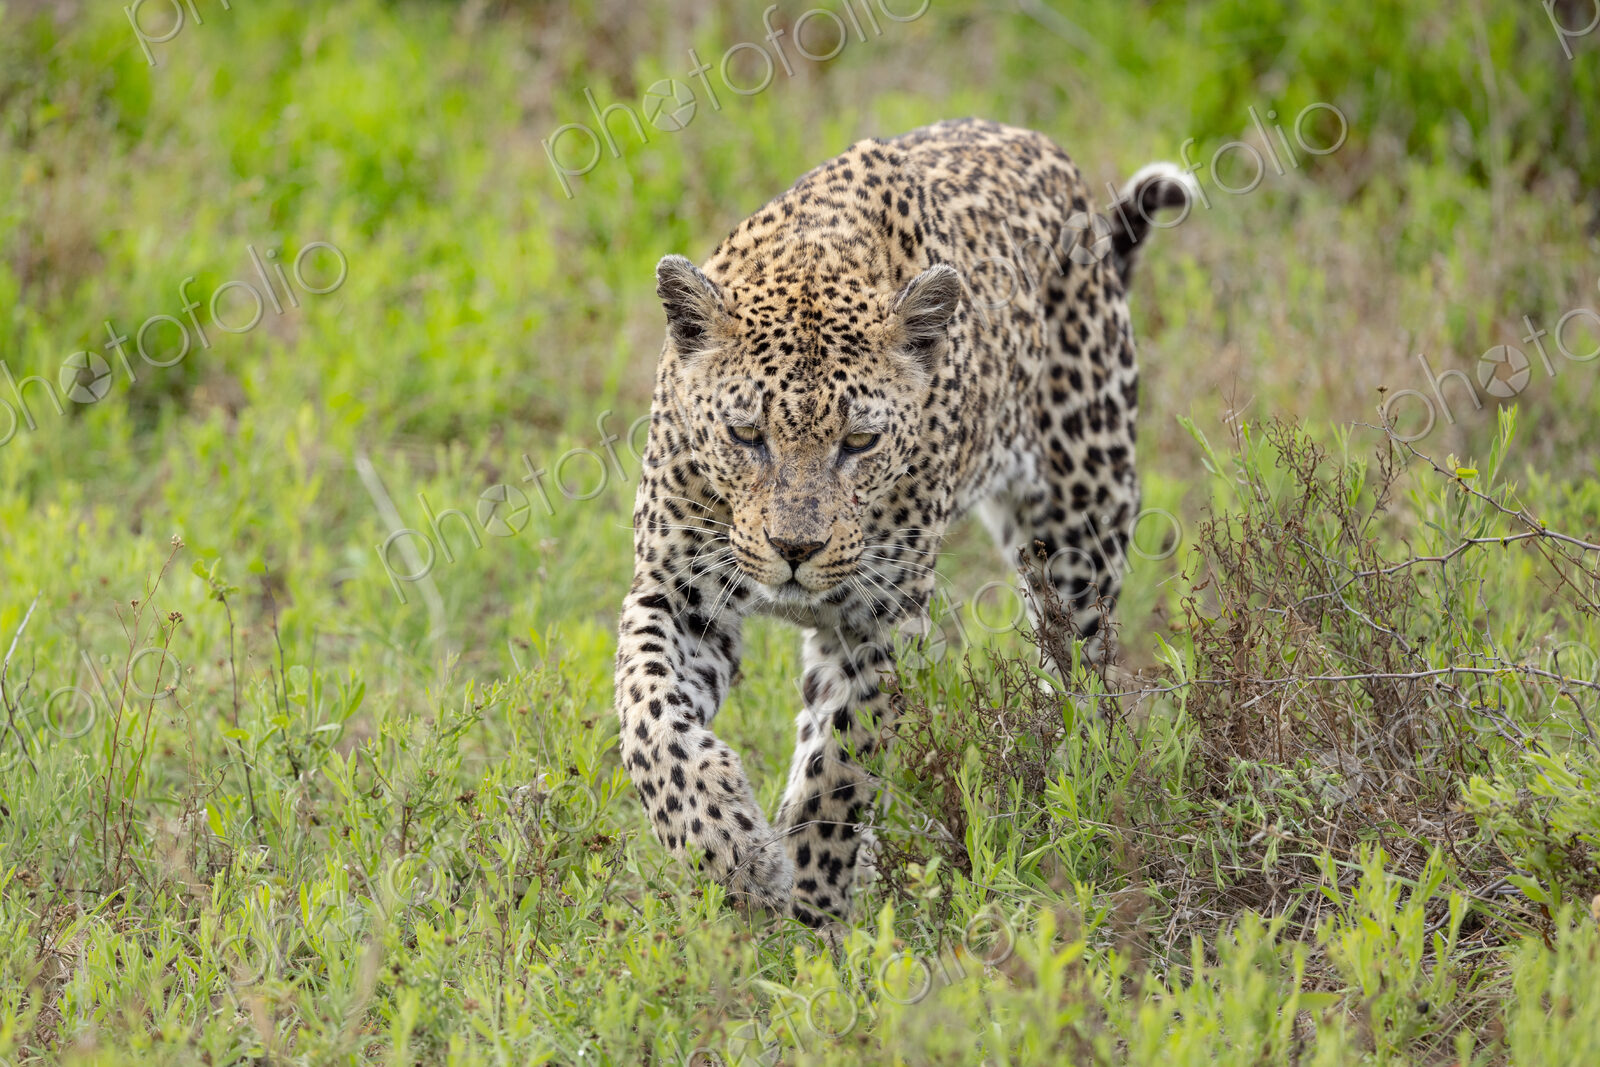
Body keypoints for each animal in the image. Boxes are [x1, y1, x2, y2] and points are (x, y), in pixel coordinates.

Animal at [613, 118, 1192, 926]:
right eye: (746, 435)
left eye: (859, 443)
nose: (795, 548)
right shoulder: (676, 592)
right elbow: (649, 719)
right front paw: (730, 850)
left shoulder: (882, 621)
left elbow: (841, 770)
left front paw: (815, 907)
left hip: (1081, 524)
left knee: (1082, 680)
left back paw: (1071, 794)